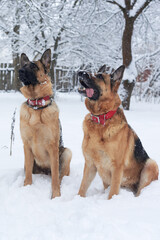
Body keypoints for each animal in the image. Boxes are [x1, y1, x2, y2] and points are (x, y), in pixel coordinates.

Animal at [18, 49, 71, 199]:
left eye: (34, 67)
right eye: (24, 65)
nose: (19, 71)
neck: (37, 106)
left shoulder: (53, 147)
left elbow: (55, 178)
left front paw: (56, 195)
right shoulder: (26, 145)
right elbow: (28, 174)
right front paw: (27, 187)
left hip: (67, 153)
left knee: (59, 176)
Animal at [77, 64, 159, 199]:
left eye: (100, 76)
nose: (80, 72)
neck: (101, 119)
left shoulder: (117, 168)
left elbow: (113, 192)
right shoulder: (90, 164)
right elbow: (82, 188)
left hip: (151, 164)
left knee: (140, 190)